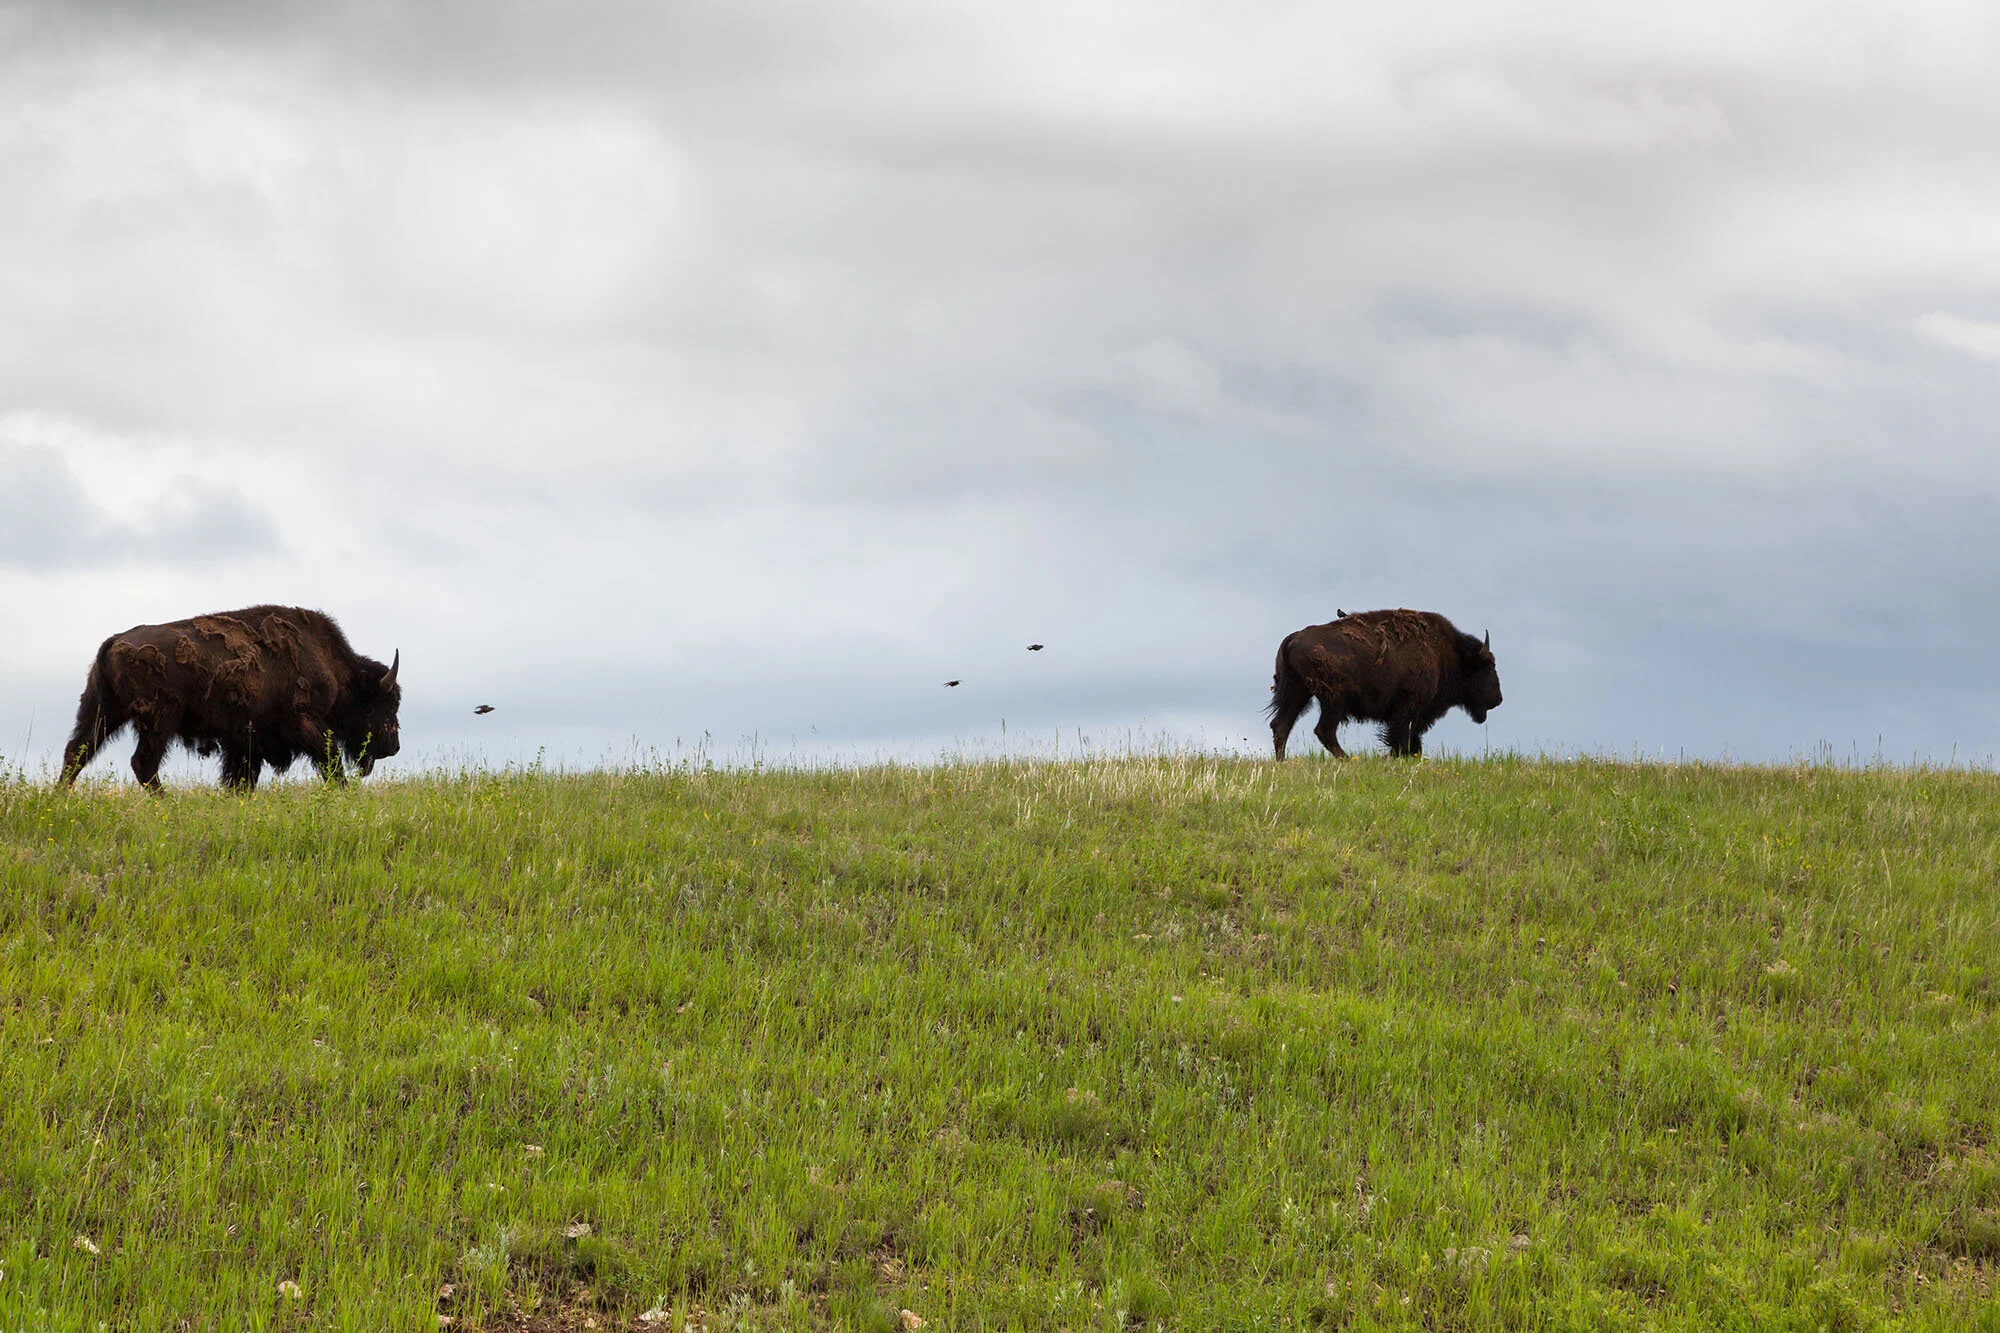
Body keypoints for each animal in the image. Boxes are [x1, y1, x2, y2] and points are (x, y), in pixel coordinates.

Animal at [59, 605, 401, 791]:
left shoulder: (245, 741)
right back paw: (168, 803)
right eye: (385, 704)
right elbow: (330, 761)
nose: (394, 746)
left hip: (103, 712)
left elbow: (241, 780)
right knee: (142, 763)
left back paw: (59, 797)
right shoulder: (304, 723)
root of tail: (114, 641)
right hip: (158, 721)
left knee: (76, 752)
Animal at [1268, 608, 1501, 760]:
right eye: (1489, 666)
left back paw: (1283, 763)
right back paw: (1349, 761)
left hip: (1298, 692)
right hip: (1333, 700)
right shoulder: (1407, 711)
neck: (1446, 654)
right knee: (1323, 730)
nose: (1498, 699)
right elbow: (1401, 740)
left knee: (1281, 725)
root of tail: (1293, 638)